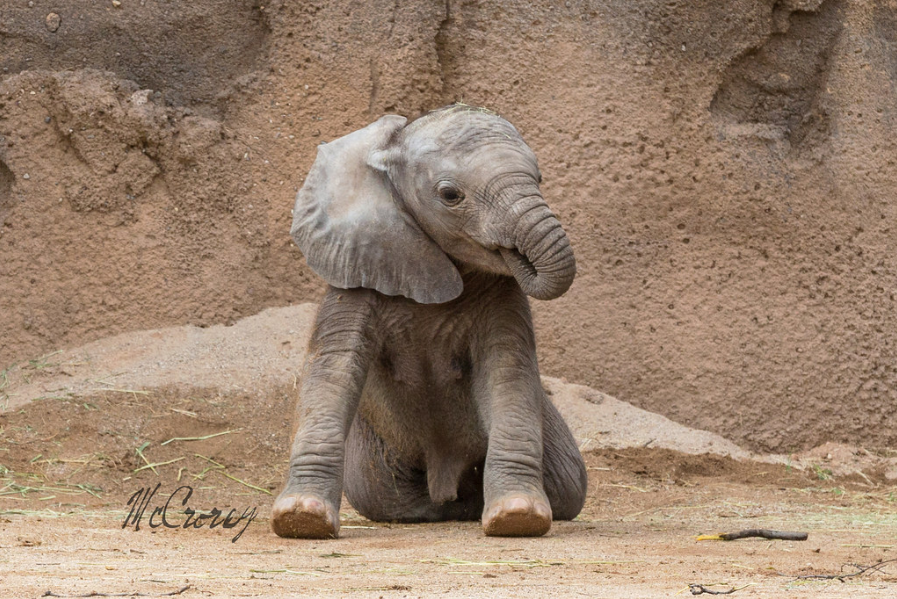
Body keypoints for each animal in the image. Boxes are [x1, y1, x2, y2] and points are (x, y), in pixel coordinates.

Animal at [276, 104, 592, 540]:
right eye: (449, 195)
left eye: (540, 179)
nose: (518, 255)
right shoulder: (356, 269)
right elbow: (332, 369)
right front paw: (301, 519)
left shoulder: (503, 295)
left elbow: (508, 372)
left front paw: (517, 516)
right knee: (384, 496)